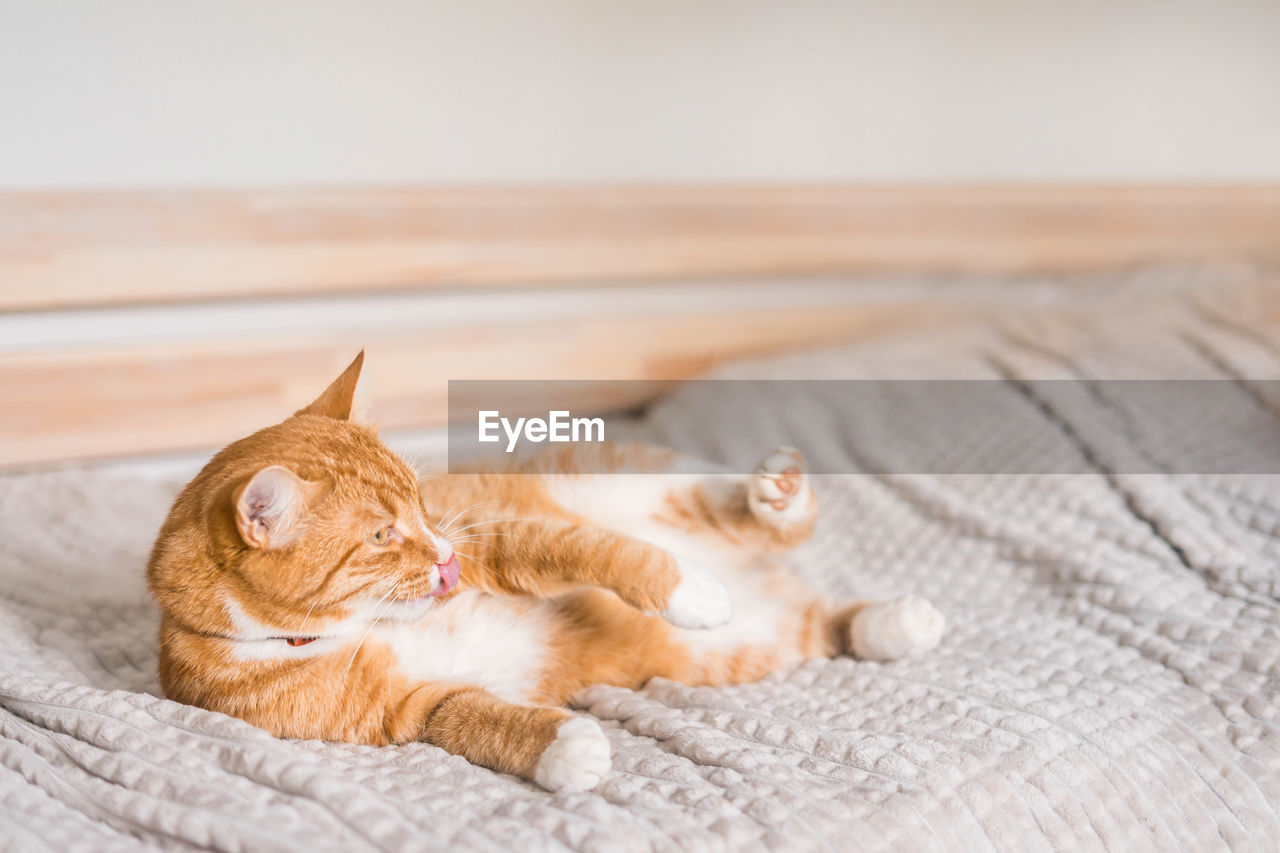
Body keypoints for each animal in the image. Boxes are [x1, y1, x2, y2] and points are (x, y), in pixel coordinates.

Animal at [149, 353, 947, 788]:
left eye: (421, 501)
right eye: (380, 534)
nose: (444, 558)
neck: (354, 627)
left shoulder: (501, 541)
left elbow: (598, 552)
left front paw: (686, 587)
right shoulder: (405, 710)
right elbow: (472, 718)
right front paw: (564, 749)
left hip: (640, 483)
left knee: (748, 515)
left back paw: (773, 500)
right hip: (750, 646)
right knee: (823, 624)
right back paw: (894, 622)